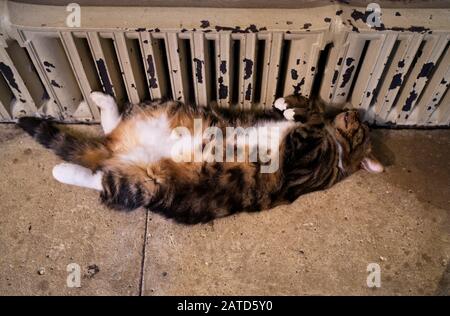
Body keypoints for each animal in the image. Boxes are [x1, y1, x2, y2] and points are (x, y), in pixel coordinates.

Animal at [17, 92, 384, 225]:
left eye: (361, 128)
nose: (355, 112)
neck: (336, 152)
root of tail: (121, 150)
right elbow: (309, 110)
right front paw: (289, 103)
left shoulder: (302, 157)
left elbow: (313, 120)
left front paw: (300, 109)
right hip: (163, 108)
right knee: (113, 128)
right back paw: (103, 101)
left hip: (146, 184)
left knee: (102, 179)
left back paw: (63, 170)